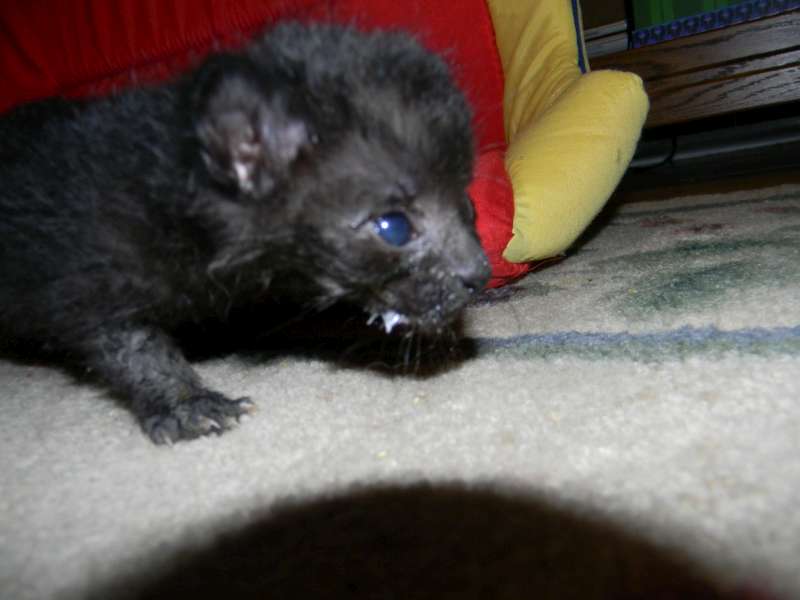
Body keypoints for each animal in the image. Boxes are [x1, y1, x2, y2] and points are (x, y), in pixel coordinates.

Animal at [0, 22, 490, 444]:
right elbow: (136, 348)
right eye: (394, 228)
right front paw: (186, 403)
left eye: (467, 204)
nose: (480, 275)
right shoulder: (93, 280)